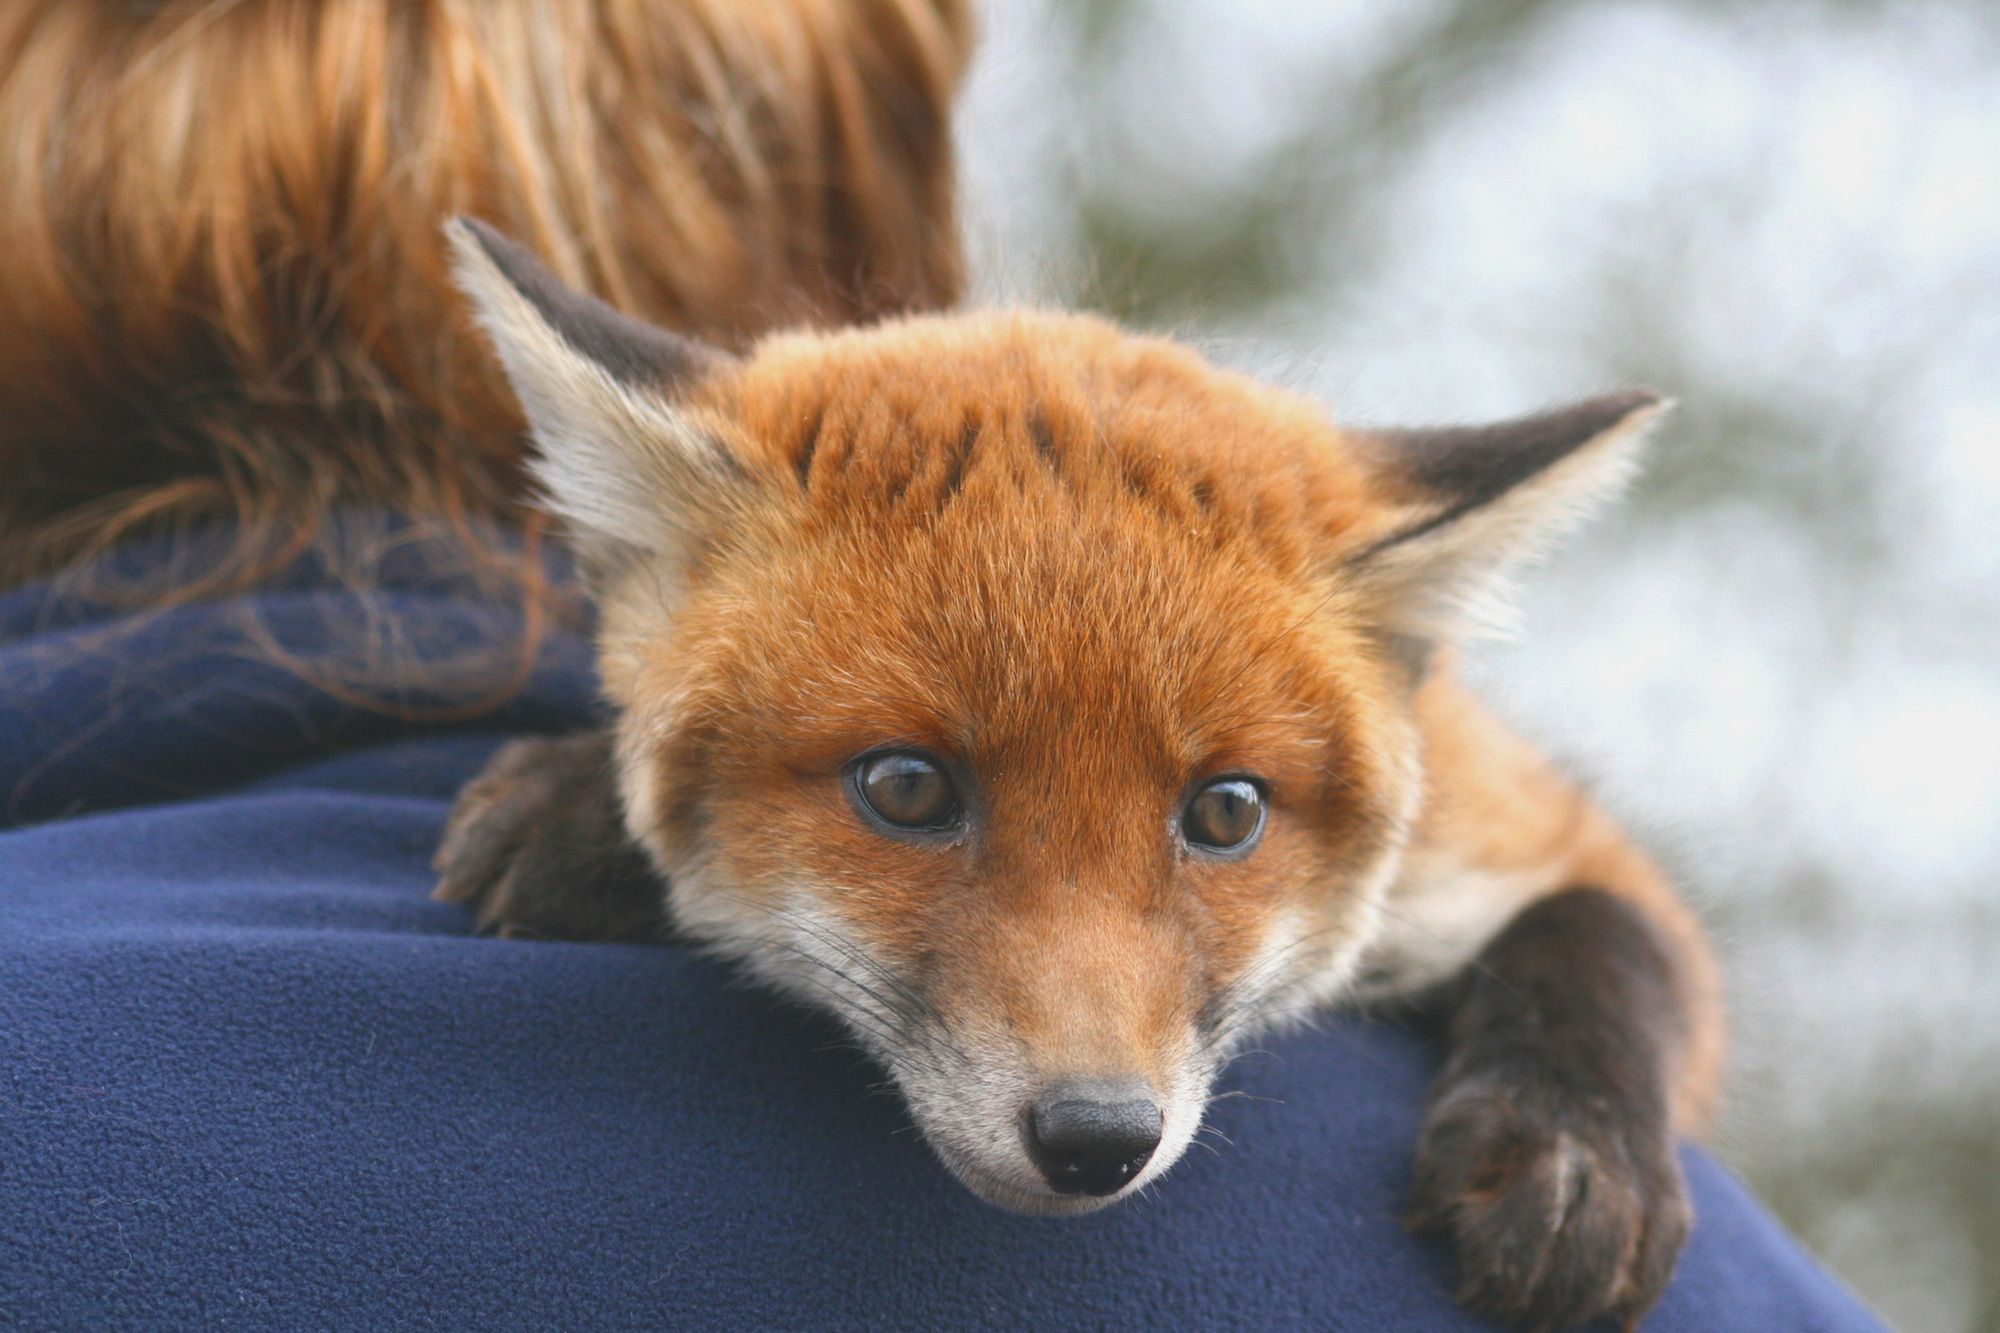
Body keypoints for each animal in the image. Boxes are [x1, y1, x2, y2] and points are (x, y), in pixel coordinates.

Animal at [434, 220, 1720, 1328]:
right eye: (906, 788)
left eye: (1225, 811)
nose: (1096, 1138)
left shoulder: (1521, 824)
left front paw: (1570, 1151)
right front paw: (578, 812)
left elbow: (1615, 933)